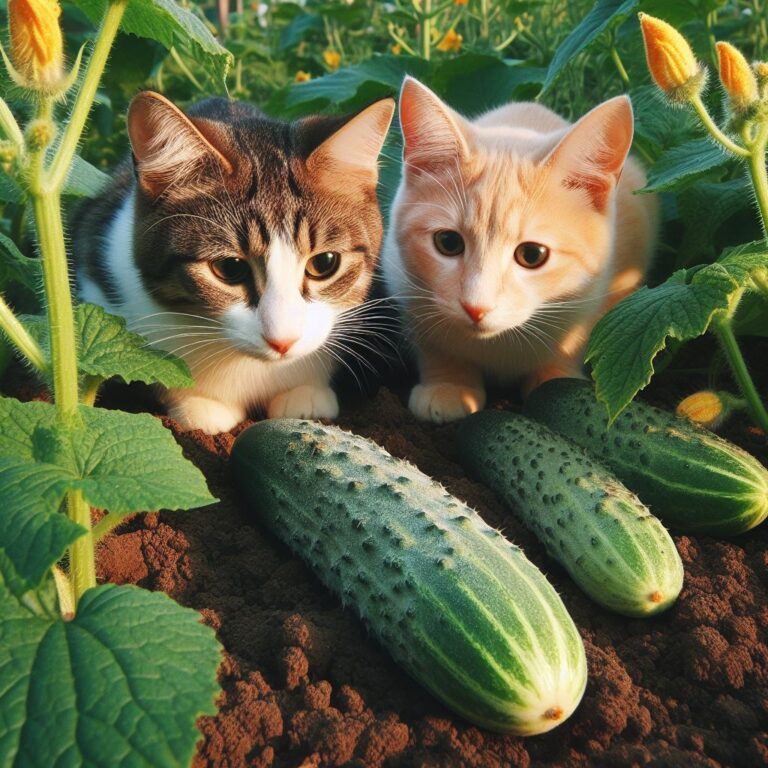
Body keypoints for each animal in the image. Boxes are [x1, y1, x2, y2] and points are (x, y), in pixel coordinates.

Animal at [384, 77, 660, 424]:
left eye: (532, 255)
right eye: (448, 243)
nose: (476, 307)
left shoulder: (619, 275)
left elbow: (577, 337)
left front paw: (555, 381)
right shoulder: (401, 277)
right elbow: (433, 340)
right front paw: (449, 383)